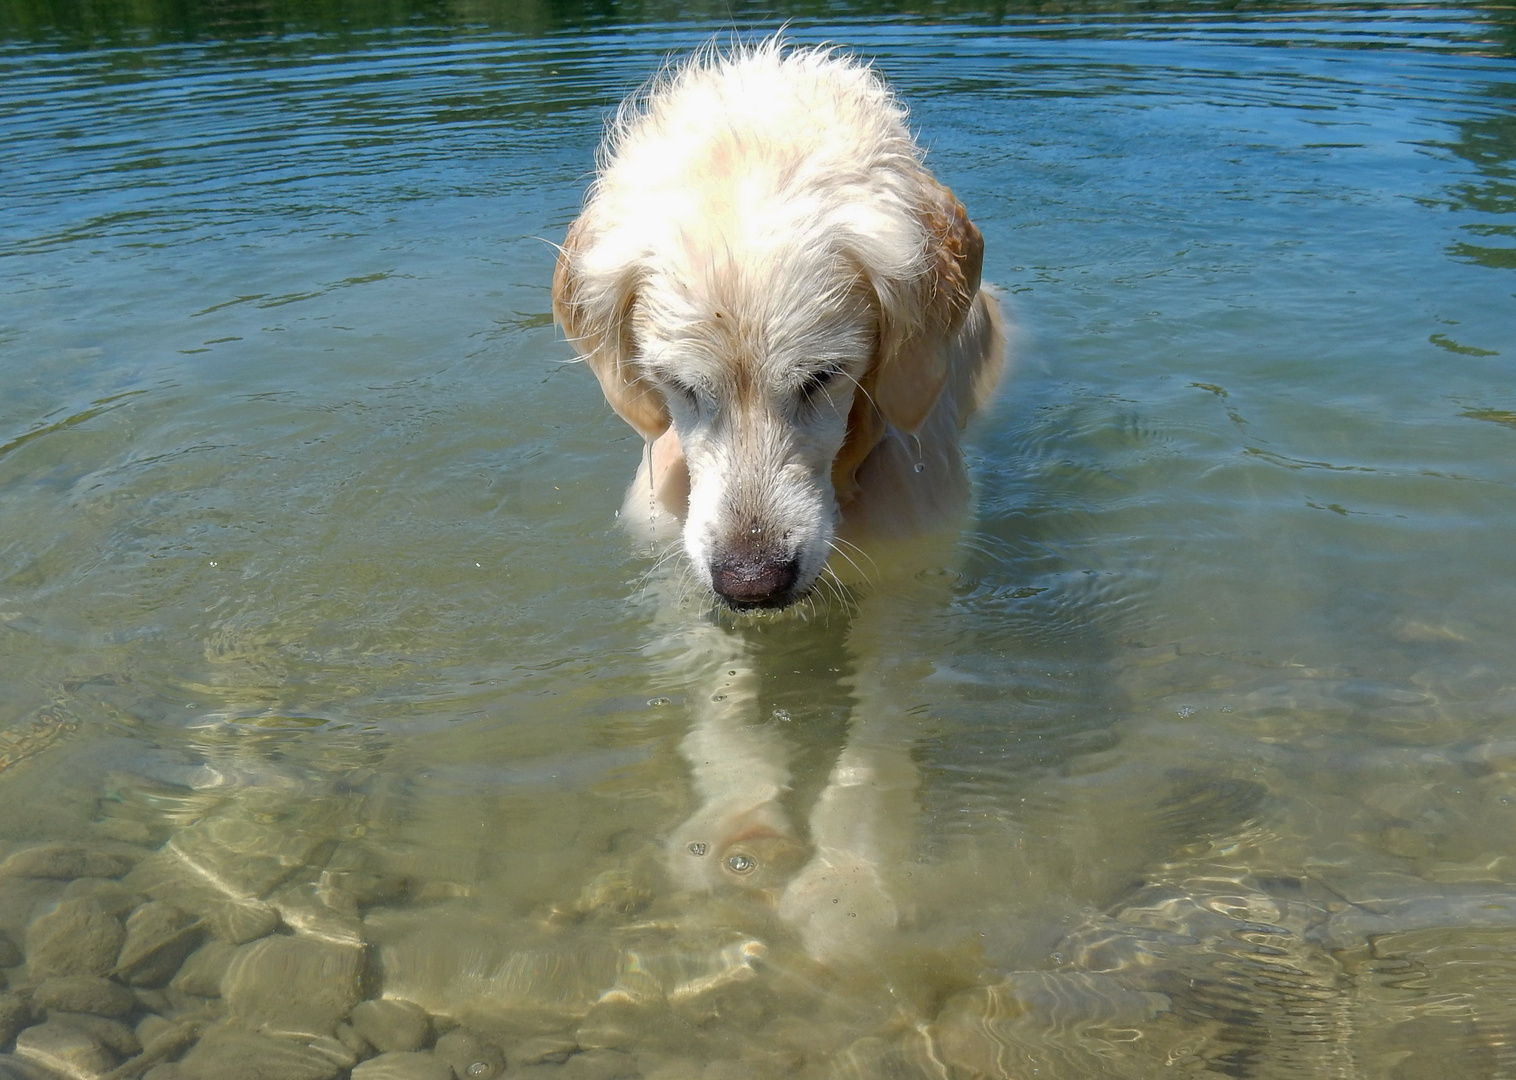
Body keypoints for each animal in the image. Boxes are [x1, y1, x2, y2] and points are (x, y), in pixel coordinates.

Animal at [557, 37, 1006, 964]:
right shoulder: (685, 581)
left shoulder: (913, 585)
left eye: (823, 377)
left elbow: (875, 744)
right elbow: (720, 710)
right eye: (680, 386)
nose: (753, 582)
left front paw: (850, 886)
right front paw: (736, 831)